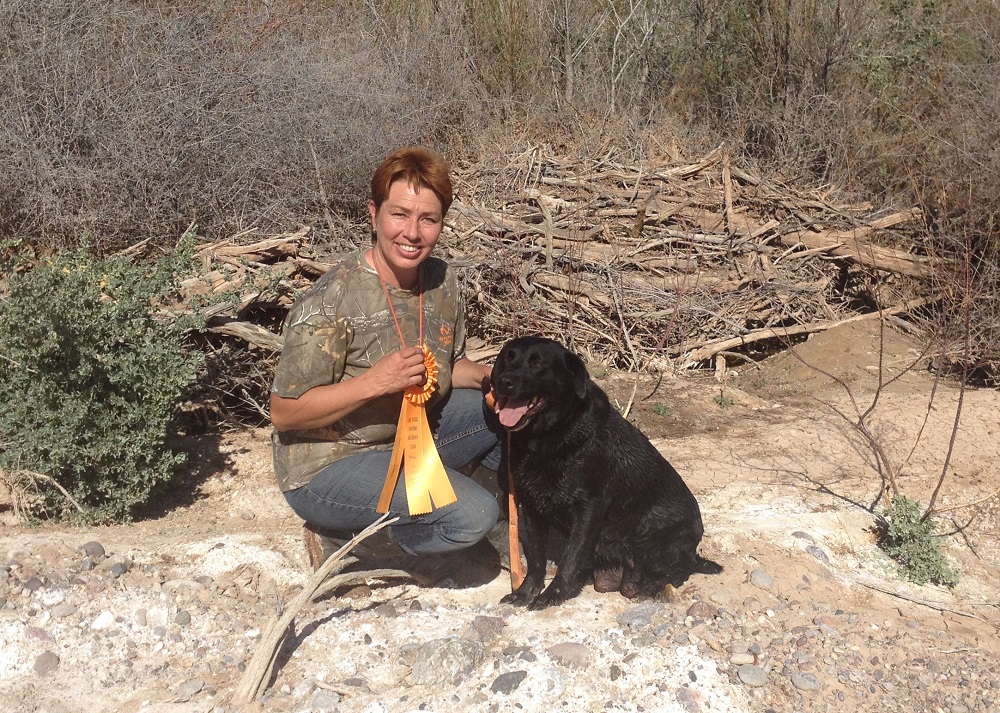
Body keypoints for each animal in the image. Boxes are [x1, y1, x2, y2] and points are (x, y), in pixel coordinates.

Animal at [490, 336, 720, 608]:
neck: (548, 439)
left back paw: (651, 585)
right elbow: (536, 559)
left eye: (538, 363)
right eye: (507, 357)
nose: (504, 381)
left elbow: (570, 558)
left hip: (652, 540)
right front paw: (525, 592)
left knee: (679, 570)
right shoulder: (531, 506)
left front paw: (553, 595)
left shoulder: (589, 508)